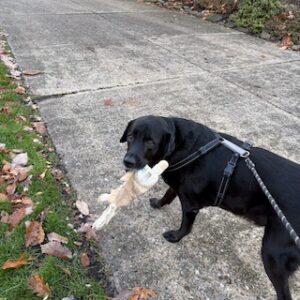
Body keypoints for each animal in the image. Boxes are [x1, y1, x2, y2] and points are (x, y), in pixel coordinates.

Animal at [120, 115, 300, 300]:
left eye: (150, 142)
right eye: (131, 137)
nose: (128, 161)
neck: (182, 146)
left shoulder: (190, 204)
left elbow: (185, 227)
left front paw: (176, 237)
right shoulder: (179, 187)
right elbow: (168, 194)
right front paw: (158, 204)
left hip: (273, 254)